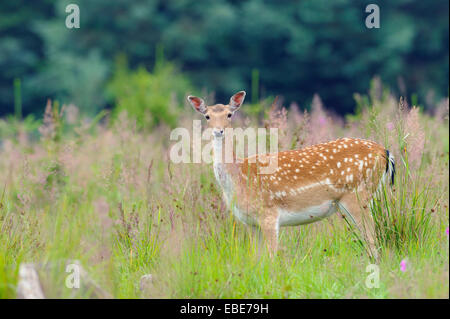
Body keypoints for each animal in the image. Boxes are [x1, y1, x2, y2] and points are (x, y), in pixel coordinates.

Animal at [186, 91, 394, 258]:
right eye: (207, 116)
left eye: (229, 114)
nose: (218, 131)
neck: (239, 177)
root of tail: (385, 152)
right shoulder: (250, 223)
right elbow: (257, 260)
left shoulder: (269, 213)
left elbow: (271, 258)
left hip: (358, 195)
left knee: (373, 239)